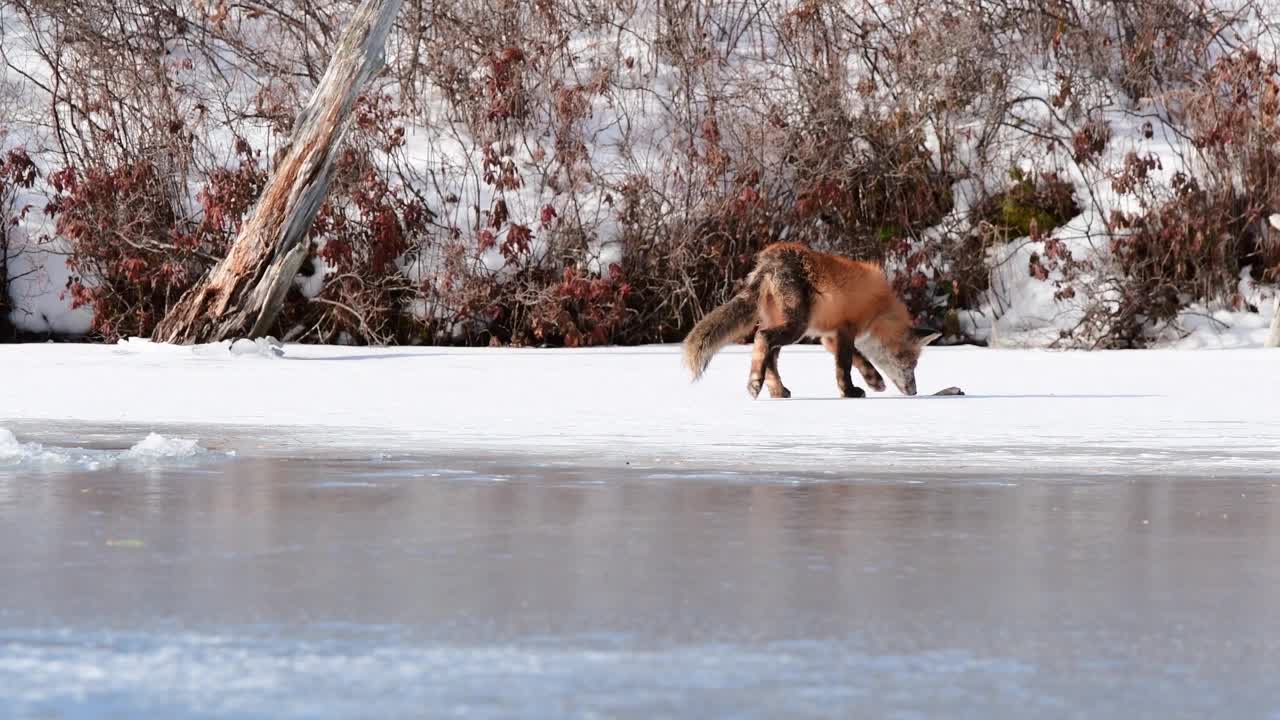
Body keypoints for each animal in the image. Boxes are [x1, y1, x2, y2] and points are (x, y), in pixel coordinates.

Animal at [680, 242, 942, 397]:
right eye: (910, 364)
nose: (914, 391)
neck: (878, 310)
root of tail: (769, 259)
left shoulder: (830, 336)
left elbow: (860, 359)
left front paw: (873, 380)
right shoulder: (846, 329)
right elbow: (845, 365)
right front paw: (849, 391)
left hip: (783, 324)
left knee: (769, 356)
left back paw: (776, 390)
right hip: (796, 326)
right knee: (762, 338)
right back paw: (756, 383)